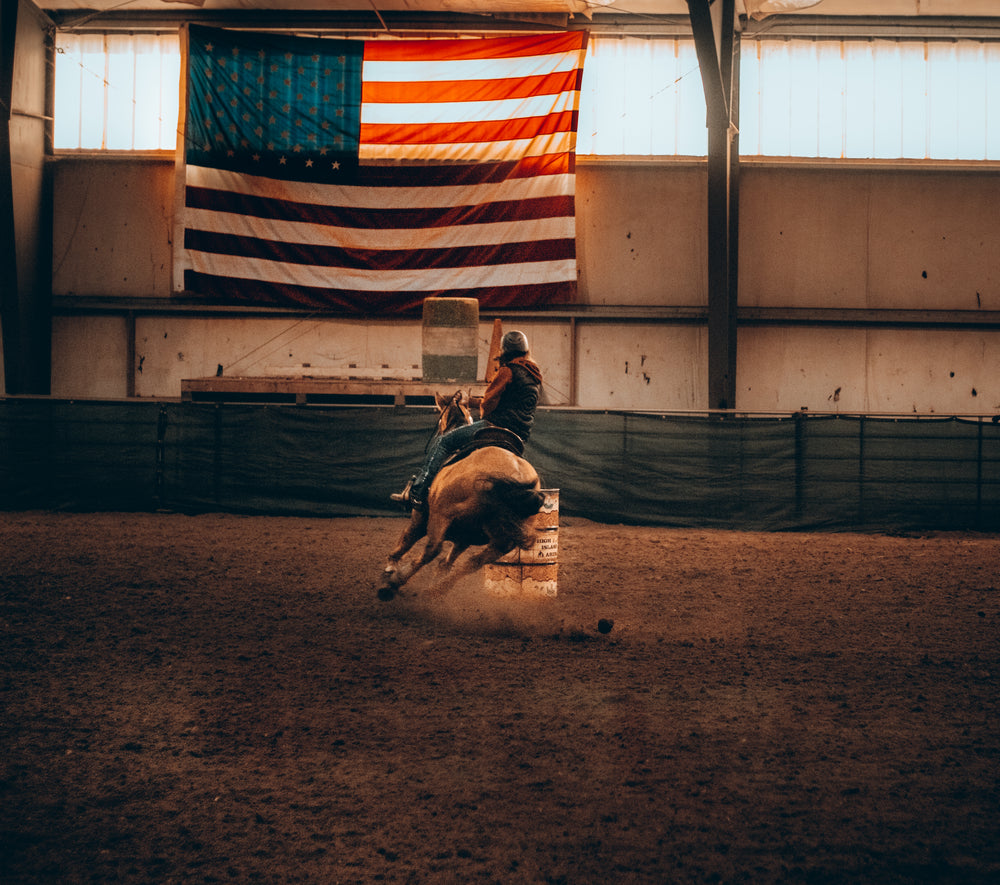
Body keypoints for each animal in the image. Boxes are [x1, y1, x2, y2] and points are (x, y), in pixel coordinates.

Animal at [376, 388, 548, 600]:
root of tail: (516, 473)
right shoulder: (464, 536)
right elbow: (448, 562)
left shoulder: (420, 518)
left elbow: (405, 541)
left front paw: (390, 568)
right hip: (501, 541)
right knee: (472, 562)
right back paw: (435, 590)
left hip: (441, 515)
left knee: (432, 549)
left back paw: (393, 585)